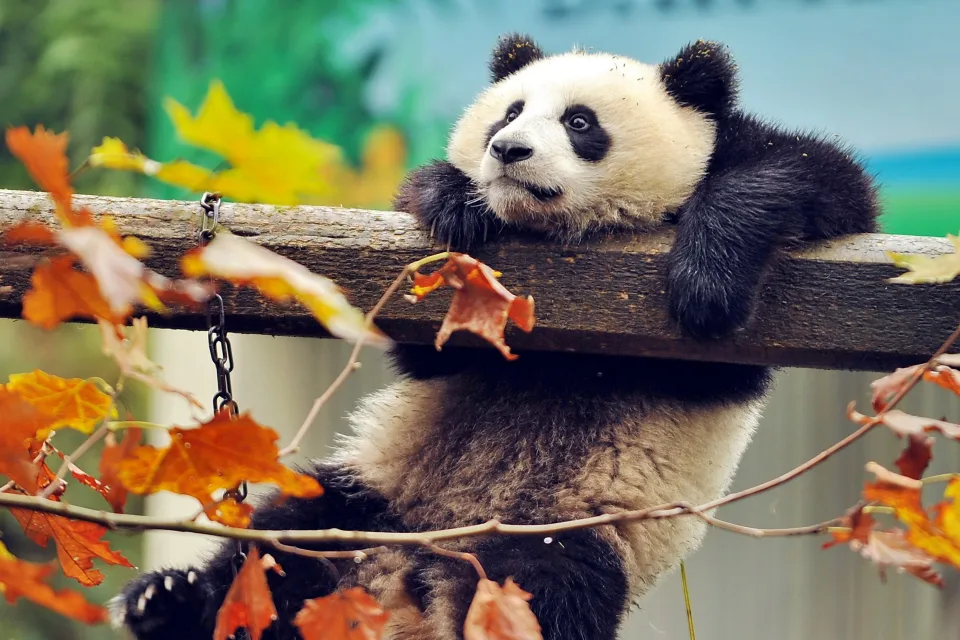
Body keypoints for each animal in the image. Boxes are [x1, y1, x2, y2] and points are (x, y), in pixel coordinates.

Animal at [113, 33, 879, 640]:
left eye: (579, 122)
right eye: (508, 112)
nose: (507, 149)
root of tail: (413, 575)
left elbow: (815, 183)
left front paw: (708, 279)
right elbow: (429, 345)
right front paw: (455, 201)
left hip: (573, 533)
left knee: (547, 592)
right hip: (375, 494)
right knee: (285, 543)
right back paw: (169, 601)